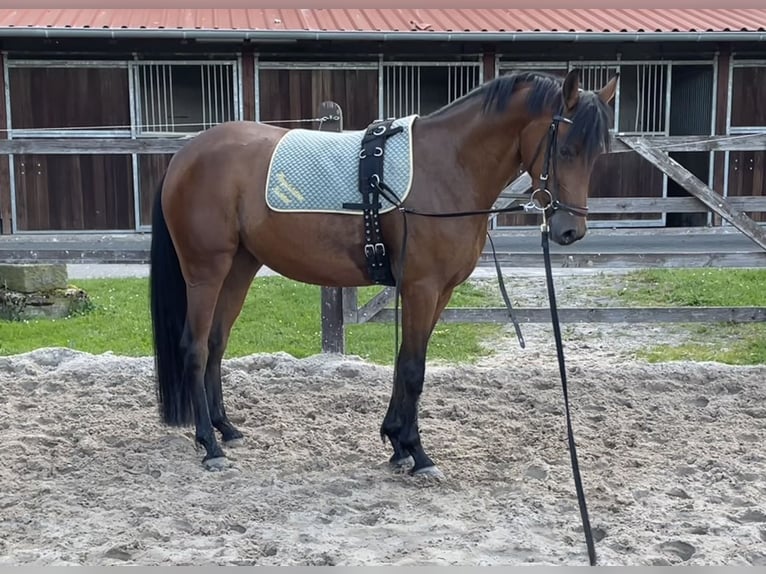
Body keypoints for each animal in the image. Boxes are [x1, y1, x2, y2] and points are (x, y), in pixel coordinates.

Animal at [148, 68, 616, 476]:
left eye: (597, 154)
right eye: (566, 148)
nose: (570, 230)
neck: (447, 166)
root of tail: (185, 155)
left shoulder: (439, 292)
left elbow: (407, 361)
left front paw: (396, 443)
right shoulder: (421, 287)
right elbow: (412, 368)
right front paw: (417, 452)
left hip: (239, 268)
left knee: (216, 343)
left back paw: (226, 429)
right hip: (206, 271)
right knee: (195, 347)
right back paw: (209, 445)